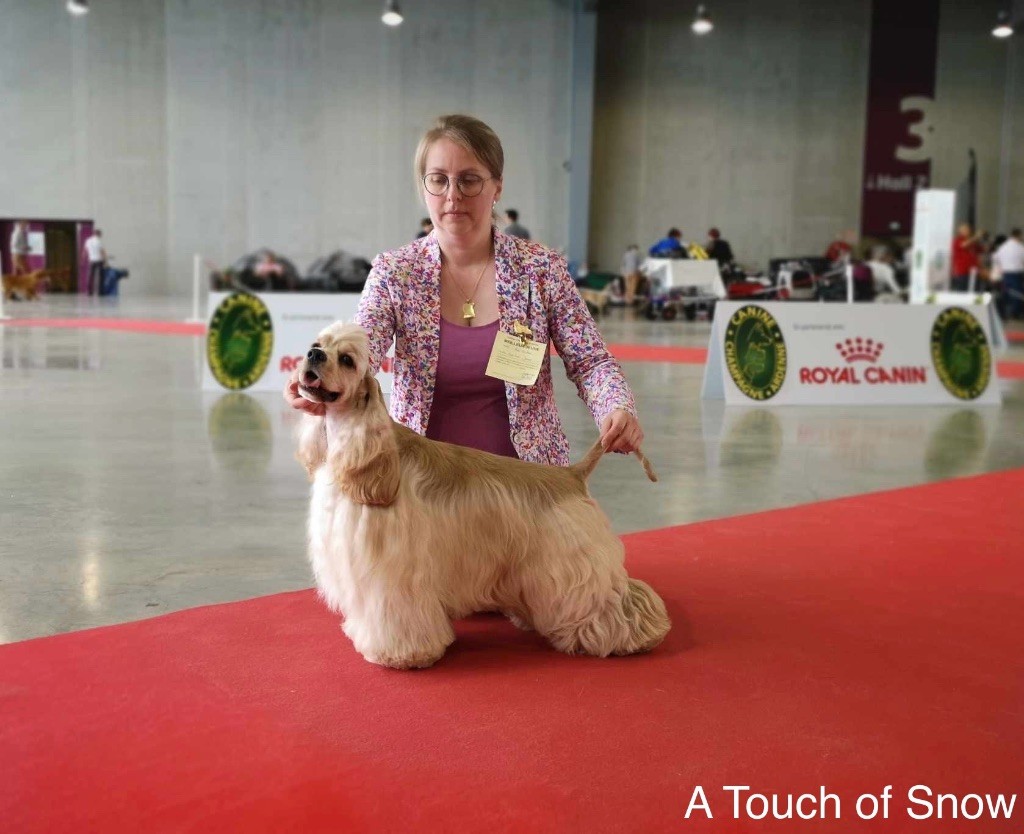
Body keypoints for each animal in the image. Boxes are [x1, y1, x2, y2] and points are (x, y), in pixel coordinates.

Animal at [294, 321, 671, 672]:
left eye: (347, 359)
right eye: (318, 343)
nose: (312, 355)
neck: (357, 442)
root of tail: (571, 474)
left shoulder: (394, 572)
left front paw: (400, 655)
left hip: (574, 563)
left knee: (616, 598)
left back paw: (637, 635)